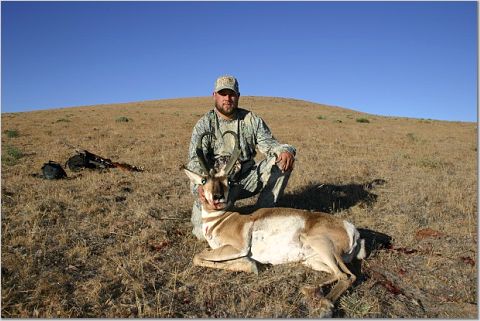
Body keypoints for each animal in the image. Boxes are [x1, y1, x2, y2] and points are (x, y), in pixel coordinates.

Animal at [185, 129, 368, 316]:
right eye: (204, 181)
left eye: (228, 181)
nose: (218, 197)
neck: (223, 218)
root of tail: (352, 230)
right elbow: (200, 257)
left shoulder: (237, 247)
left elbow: (197, 257)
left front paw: (251, 265)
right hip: (313, 260)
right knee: (338, 275)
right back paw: (309, 290)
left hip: (321, 246)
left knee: (347, 276)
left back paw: (324, 305)